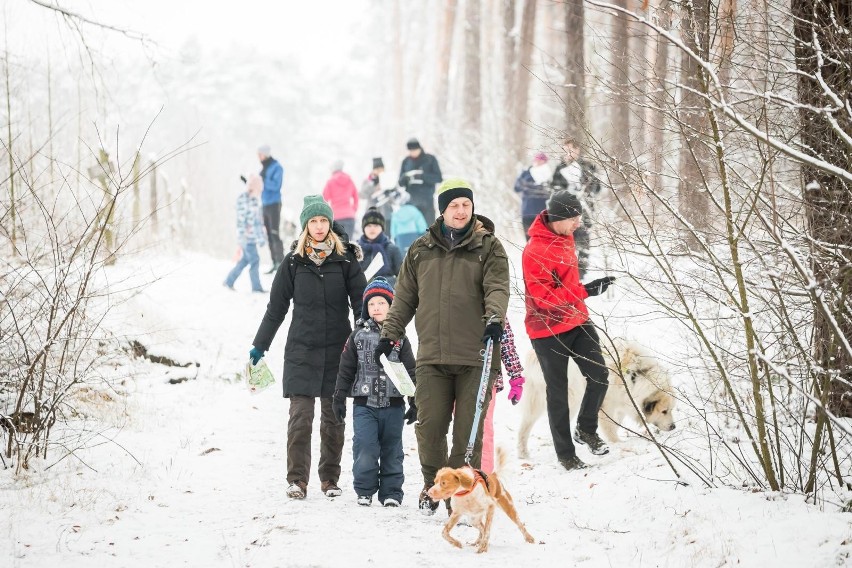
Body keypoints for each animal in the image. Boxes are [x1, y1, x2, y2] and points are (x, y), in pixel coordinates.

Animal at [516, 338, 676, 458]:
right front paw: (617, 443)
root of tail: (533, 356)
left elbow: (616, 423)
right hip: (565, 398)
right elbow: (609, 426)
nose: (673, 427)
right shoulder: (607, 404)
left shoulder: (622, 403)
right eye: (664, 411)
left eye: (671, 410)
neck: (635, 377)